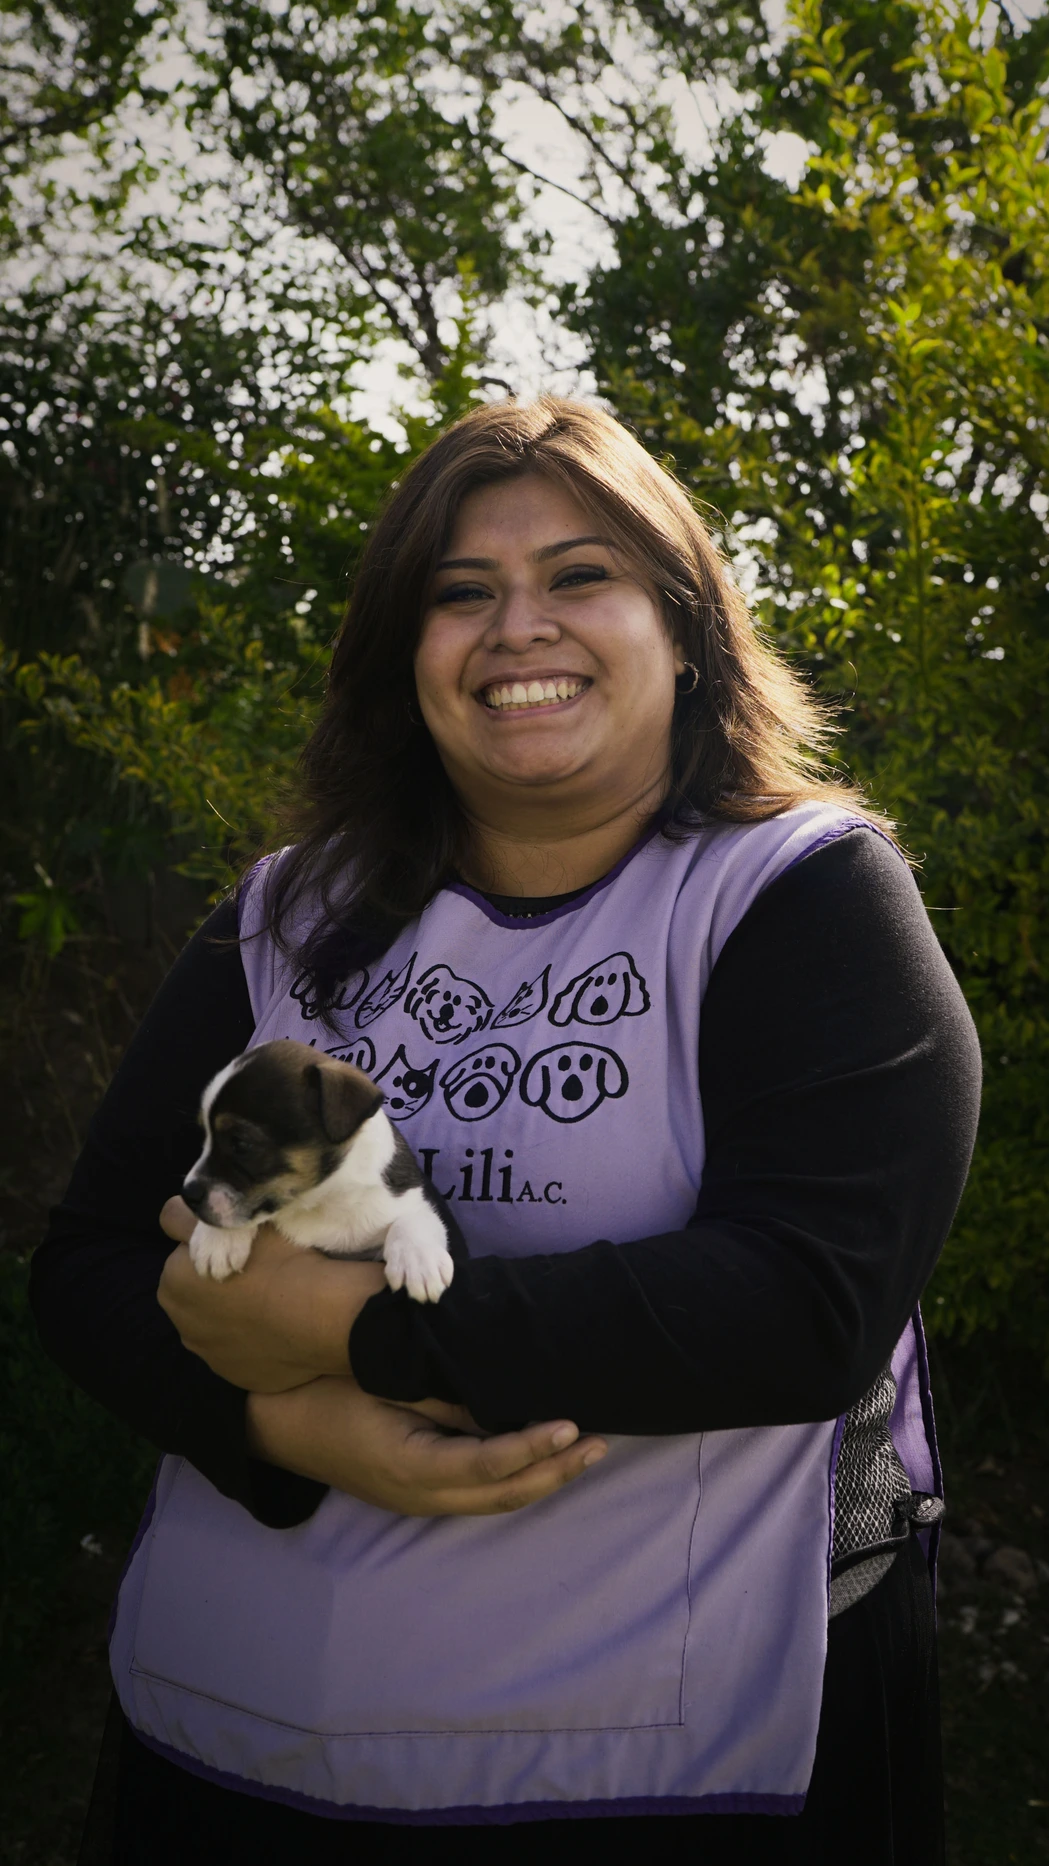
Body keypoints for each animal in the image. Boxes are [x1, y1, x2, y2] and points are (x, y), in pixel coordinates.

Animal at [181, 1040, 459, 1302]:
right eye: (204, 1136)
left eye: (241, 1143)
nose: (187, 1196)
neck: (320, 1201)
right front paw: (215, 1240)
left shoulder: (407, 1200)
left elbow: (412, 1219)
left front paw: (419, 1264)